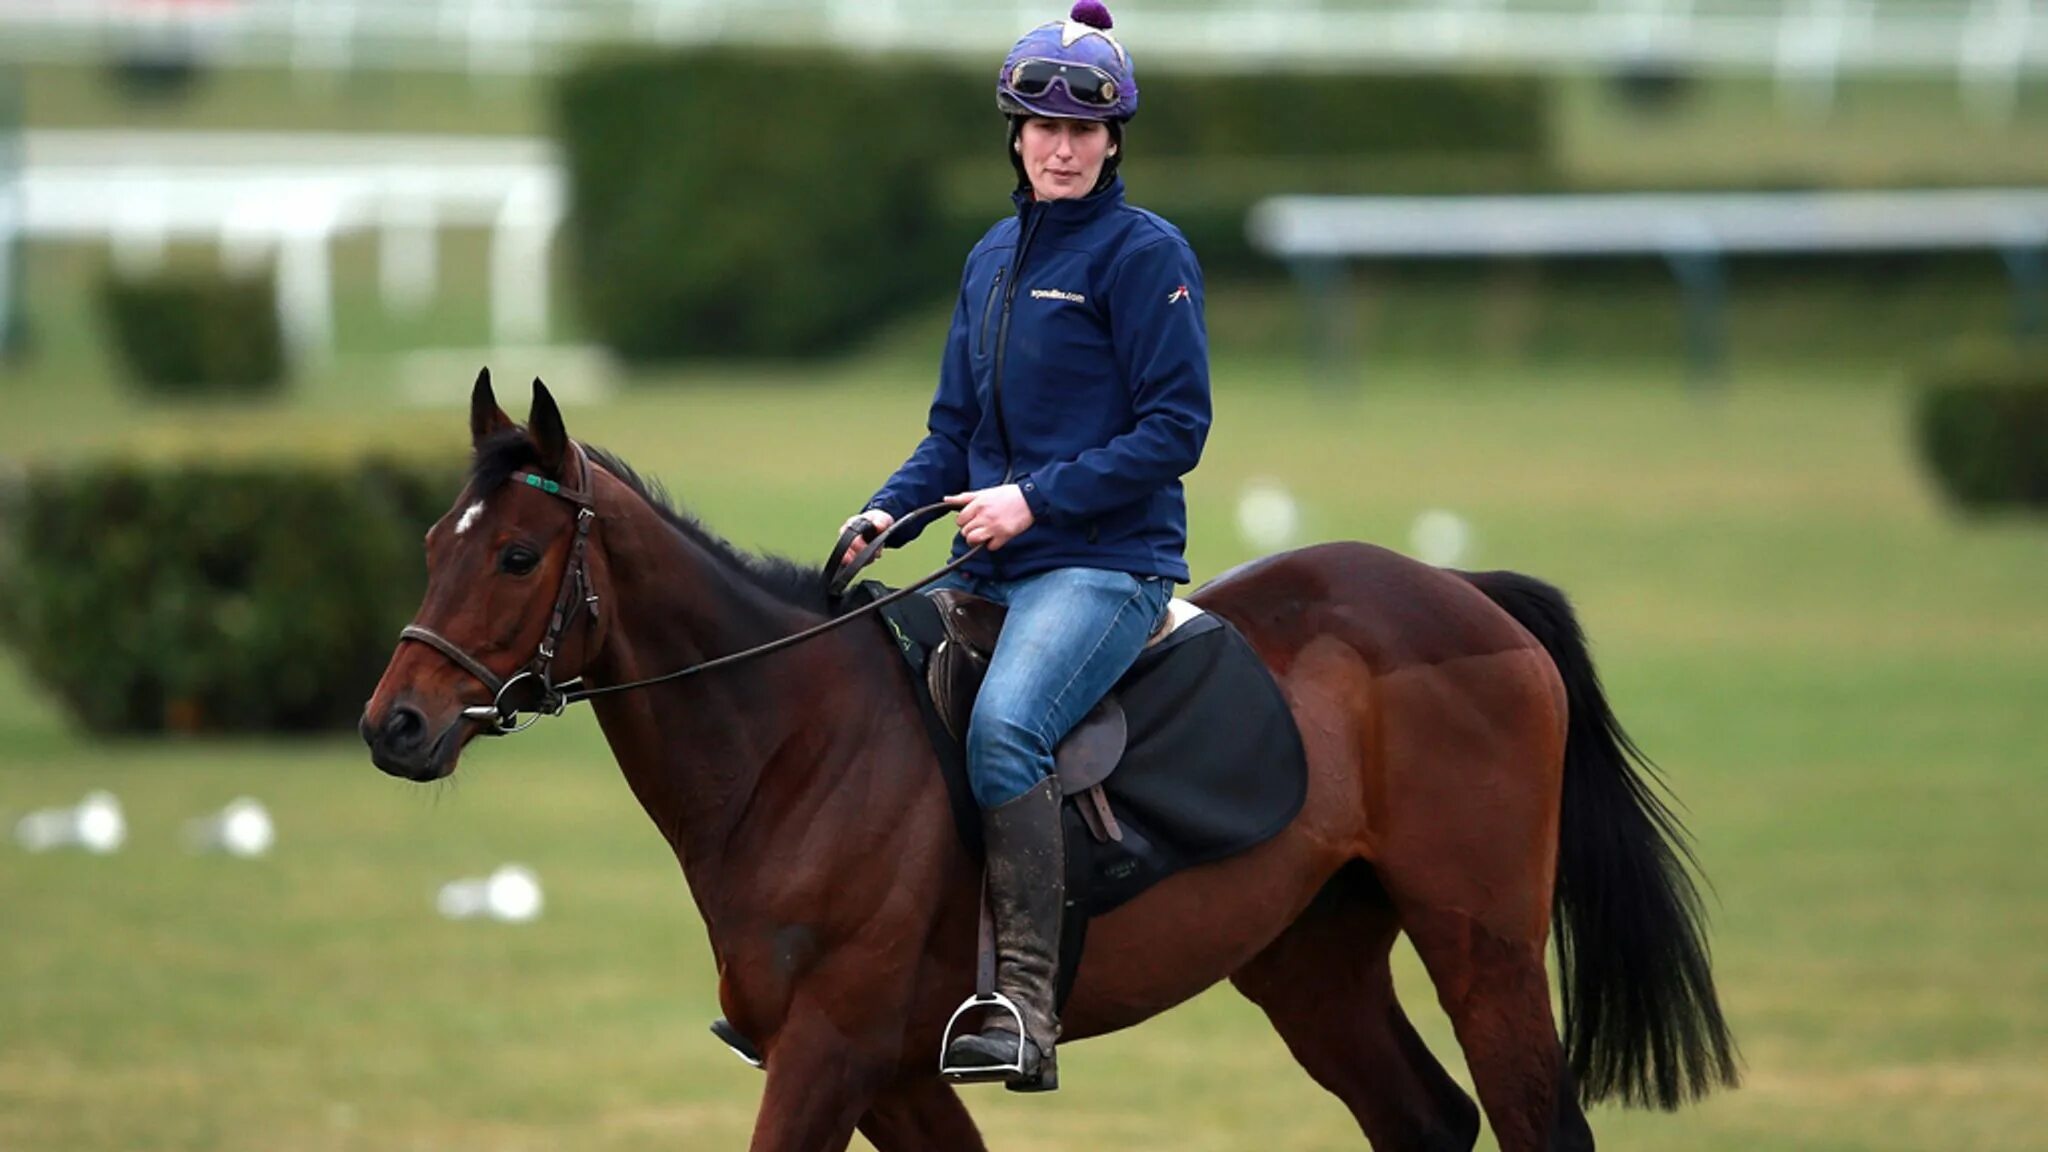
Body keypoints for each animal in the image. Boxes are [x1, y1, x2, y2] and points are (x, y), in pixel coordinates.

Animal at [360, 373, 1736, 1139]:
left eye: (518, 556)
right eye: (430, 542)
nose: (394, 726)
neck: (794, 747)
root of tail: (1460, 592)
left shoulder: (832, 1053)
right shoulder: (893, 1079)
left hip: (1479, 943)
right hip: (1309, 963)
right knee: (1426, 1121)